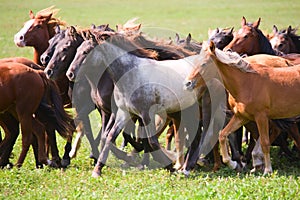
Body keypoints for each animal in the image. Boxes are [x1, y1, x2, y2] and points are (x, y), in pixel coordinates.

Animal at [183, 41, 300, 174]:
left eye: (204, 64)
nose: (187, 83)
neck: (246, 83)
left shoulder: (261, 117)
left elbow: (265, 142)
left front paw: (268, 170)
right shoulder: (241, 117)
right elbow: (222, 134)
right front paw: (233, 163)